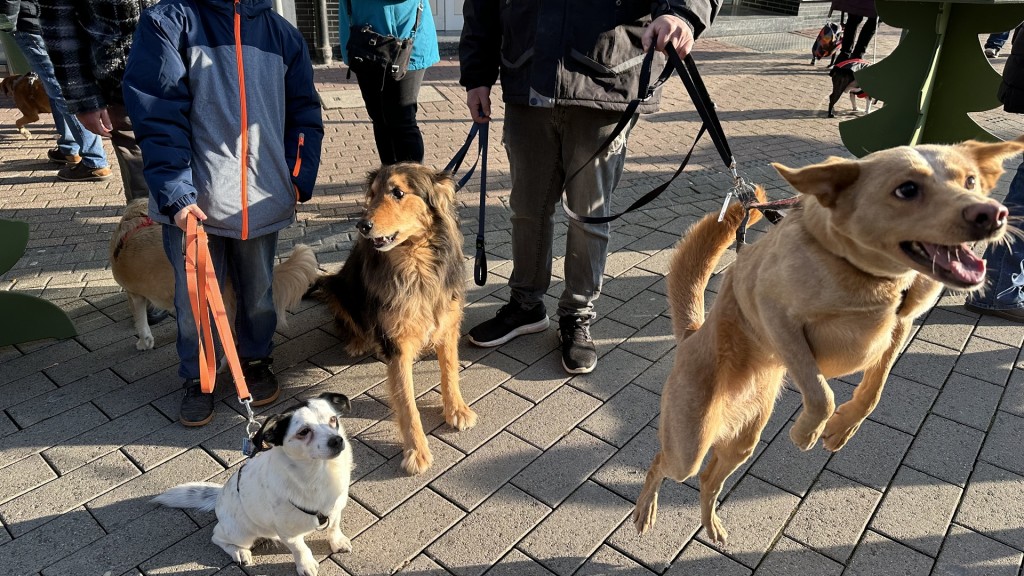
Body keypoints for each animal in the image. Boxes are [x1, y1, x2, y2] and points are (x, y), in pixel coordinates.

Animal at [151, 389, 352, 573]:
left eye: (333, 420)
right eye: (304, 432)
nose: (337, 440)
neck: (319, 474)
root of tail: (220, 495)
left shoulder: (335, 509)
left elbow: (334, 527)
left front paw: (337, 542)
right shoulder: (288, 533)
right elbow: (300, 549)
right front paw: (306, 565)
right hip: (240, 533)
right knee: (217, 536)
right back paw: (239, 552)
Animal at [313, 159, 477, 471]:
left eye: (398, 193)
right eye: (372, 194)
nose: (362, 225)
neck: (417, 264)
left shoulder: (447, 324)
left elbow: (450, 371)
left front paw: (457, 409)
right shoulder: (398, 344)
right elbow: (407, 403)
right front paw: (416, 451)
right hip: (335, 285)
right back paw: (359, 342)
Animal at [630, 136, 1024, 541]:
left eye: (971, 181)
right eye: (907, 189)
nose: (993, 214)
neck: (872, 279)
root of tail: (692, 335)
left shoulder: (901, 325)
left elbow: (874, 389)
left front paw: (841, 427)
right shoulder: (776, 316)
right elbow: (821, 393)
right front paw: (808, 431)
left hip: (743, 439)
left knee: (709, 479)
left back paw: (712, 524)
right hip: (689, 442)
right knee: (662, 461)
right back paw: (646, 510)